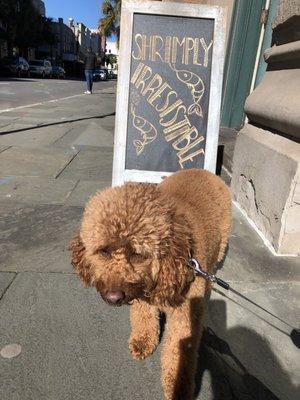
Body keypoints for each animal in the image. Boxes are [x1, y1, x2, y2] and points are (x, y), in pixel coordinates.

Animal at [70, 167, 232, 398]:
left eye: (138, 254)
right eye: (104, 251)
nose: (113, 298)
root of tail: (202, 170)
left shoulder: (184, 315)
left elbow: (179, 351)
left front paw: (178, 386)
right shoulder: (140, 293)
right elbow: (143, 317)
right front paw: (143, 341)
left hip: (220, 246)